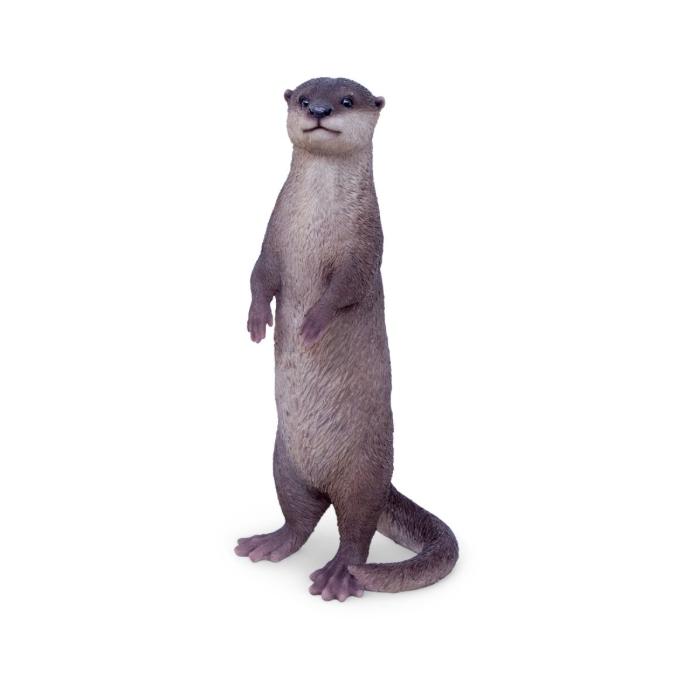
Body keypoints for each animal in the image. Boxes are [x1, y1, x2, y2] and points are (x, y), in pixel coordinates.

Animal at [236, 77, 458, 601]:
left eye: (346, 101)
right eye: (303, 98)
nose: (318, 110)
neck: (314, 221)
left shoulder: (365, 247)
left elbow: (344, 290)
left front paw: (311, 325)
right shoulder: (271, 236)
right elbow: (258, 276)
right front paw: (256, 322)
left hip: (363, 474)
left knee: (356, 530)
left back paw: (340, 576)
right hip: (284, 465)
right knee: (300, 518)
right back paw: (269, 543)